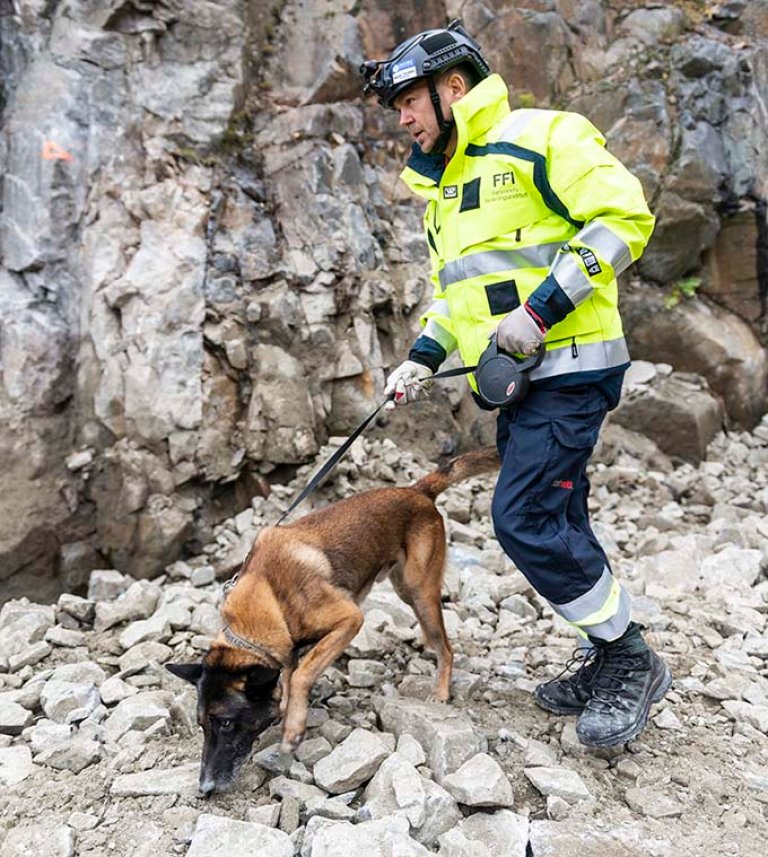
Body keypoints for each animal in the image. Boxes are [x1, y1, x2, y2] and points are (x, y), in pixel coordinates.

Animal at [166, 444, 498, 792]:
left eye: (226, 722)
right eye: (201, 724)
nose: (204, 788)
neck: (266, 598)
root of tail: (416, 491)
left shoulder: (349, 620)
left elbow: (301, 674)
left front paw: (293, 728)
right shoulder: (290, 648)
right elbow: (291, 675)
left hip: (418, 591)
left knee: (447, 647)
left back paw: (441, 690)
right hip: (406, 589)